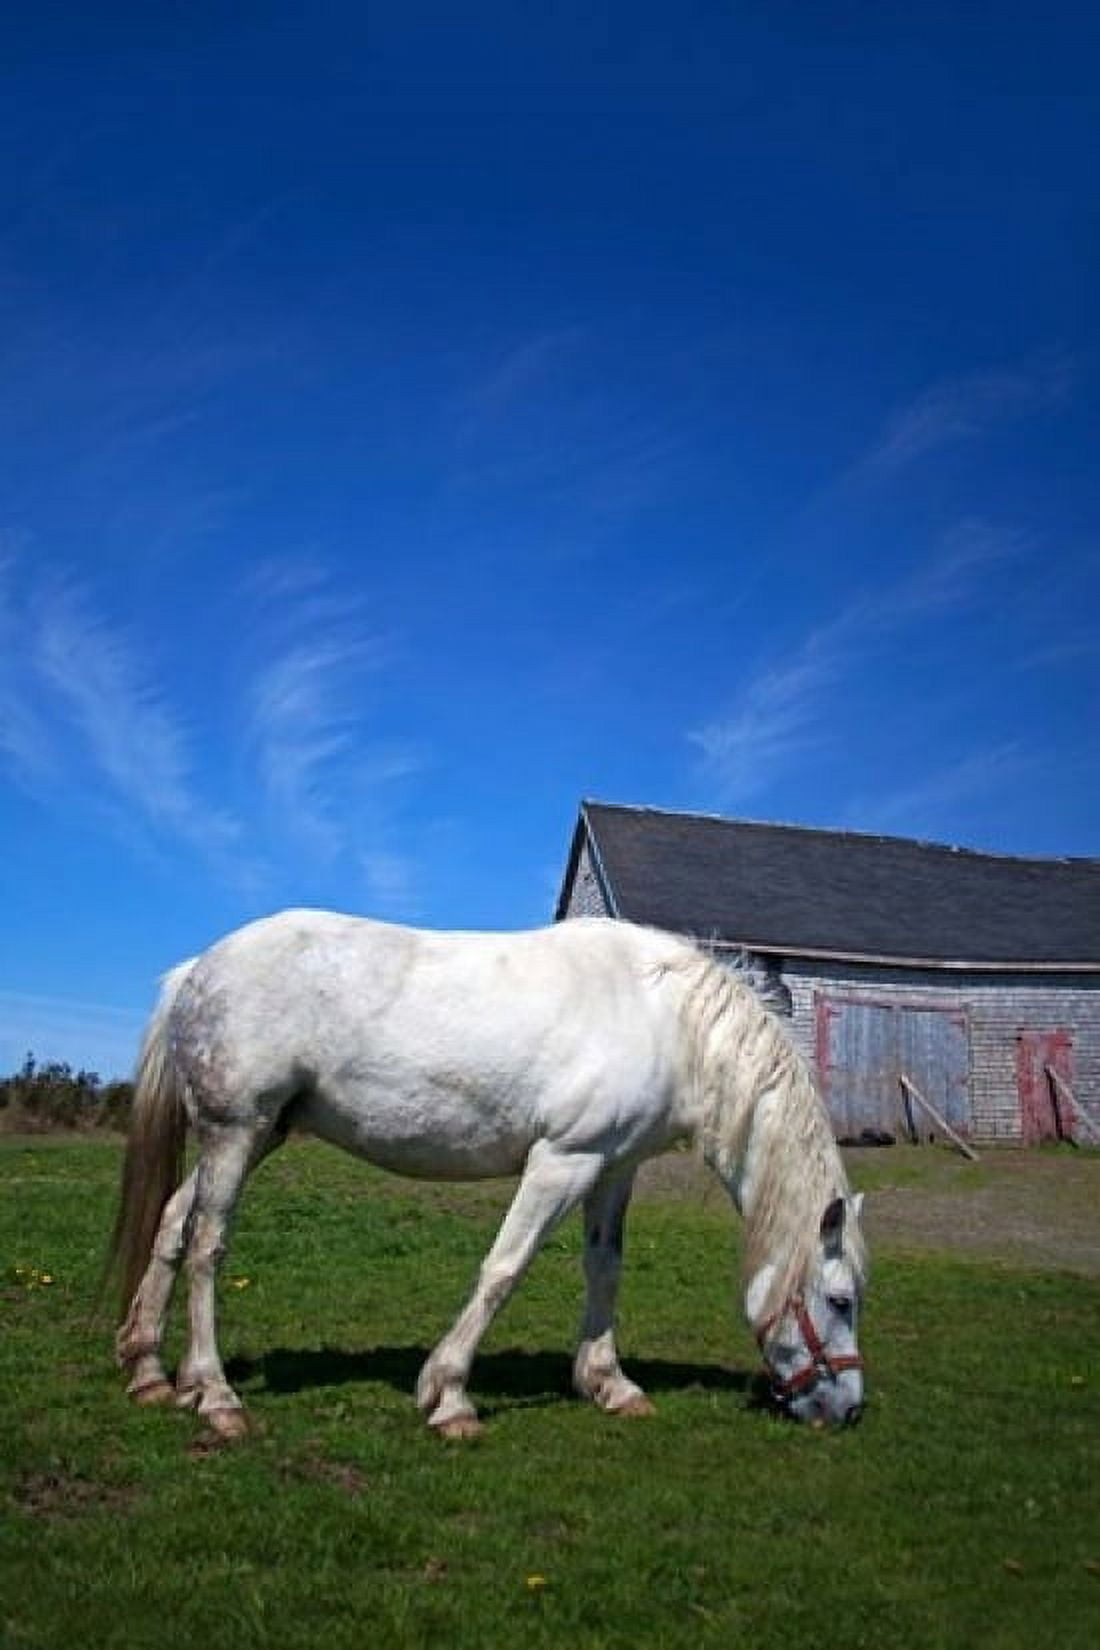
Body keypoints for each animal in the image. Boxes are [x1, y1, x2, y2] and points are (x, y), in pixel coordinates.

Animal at [106, 911, 867, 1439]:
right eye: (840, 1301)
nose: (850, 1410)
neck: (665, 1021)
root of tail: (197, 969)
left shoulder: (613, 1168)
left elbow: (606, 1269)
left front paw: (608, 1384)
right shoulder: (563, 1161)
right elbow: (504, 1268)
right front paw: (448, 1397)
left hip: (254, 1135)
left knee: (173, 1225)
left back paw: (149, 1371)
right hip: (237, 1131)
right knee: (208, 1246)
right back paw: (216, 1396)